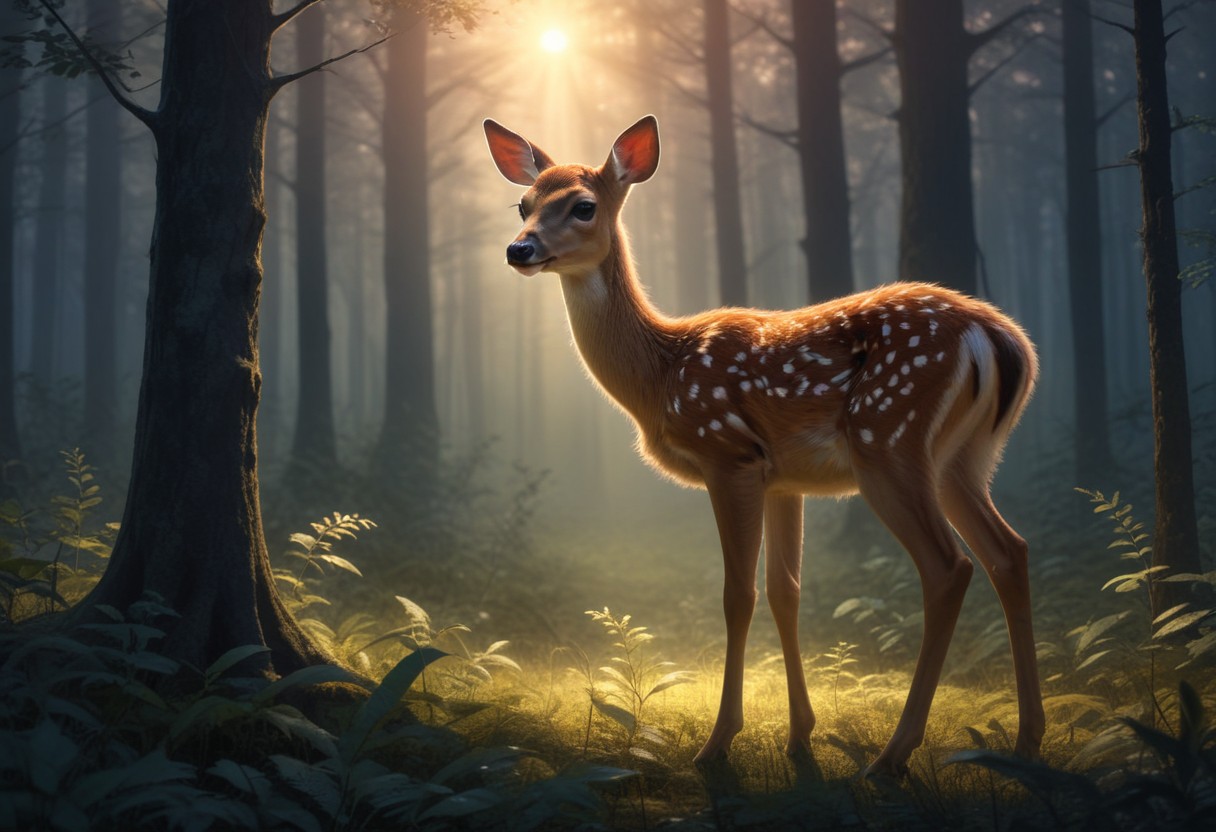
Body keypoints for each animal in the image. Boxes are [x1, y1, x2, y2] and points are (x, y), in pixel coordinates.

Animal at [484, 115, 1044, 777]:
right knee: (1010, 551)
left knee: (949, 566)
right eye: (523, 204)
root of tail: (1002, 340)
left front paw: (718, 741)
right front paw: (800, 734)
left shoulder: (730, 456)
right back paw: (1026, 741)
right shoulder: (786, 479)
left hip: (890, 439)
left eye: (583, 206)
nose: (519, 249)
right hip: (964, 458)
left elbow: (739, 595)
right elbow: (786, 592)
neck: (662, 376)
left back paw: (894, 753)